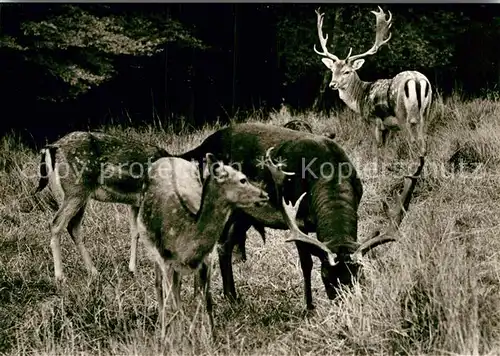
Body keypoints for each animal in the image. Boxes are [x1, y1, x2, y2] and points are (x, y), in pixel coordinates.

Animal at [34, 132, 172, 282]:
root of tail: (51, 148)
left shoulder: (135, 203)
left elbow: (135, 232)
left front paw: (133, 269)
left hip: (76, 194)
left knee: (73, 227)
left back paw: (93, 271)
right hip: (75, 190)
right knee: (56, 224)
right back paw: (60, 276)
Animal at [137, 154, 270, 334]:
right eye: (243, 179)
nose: (265, 194)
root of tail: (167, 158)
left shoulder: (207, 259)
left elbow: (207, 302)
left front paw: (210, 336)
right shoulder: (166, 260)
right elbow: (174, 305)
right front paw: (175, 337)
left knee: (179, 290)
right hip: (154, 251)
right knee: (159, 286)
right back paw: (163, 327)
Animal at [314, 5, 432, 159]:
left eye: (347, 71)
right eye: (333, 70)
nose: (332, 84)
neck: (360, 98)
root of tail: (417, 80)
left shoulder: (374, 120)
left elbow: (377, 149)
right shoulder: (387, 127)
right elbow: (385, 149)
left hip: (403, 114)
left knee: (412, 141)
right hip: (426, 112)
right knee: (424, 140)